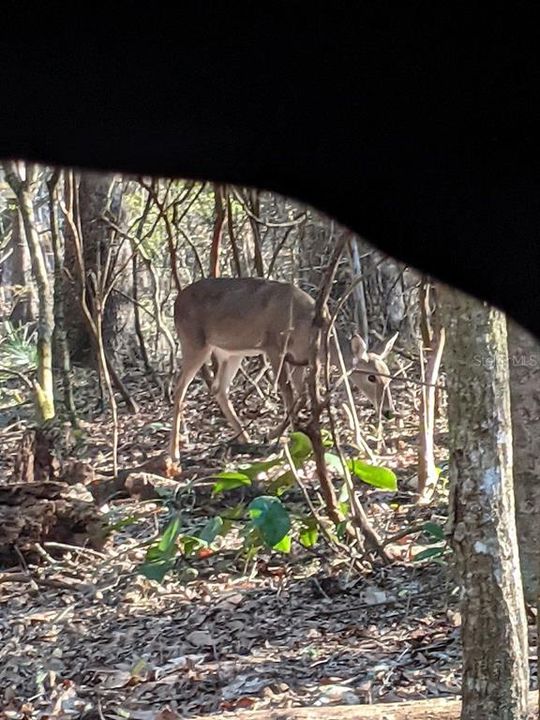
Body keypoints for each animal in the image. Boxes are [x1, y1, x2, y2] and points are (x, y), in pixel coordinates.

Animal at [168, 276, 396, 462]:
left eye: (389, 377)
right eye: (372, 377)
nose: (388, 411)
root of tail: (177, 301)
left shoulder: (300, 360)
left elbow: (302, 395)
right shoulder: (274, 346)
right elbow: (287, 391)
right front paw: (284, 436)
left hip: (231, 353)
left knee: (218, 388)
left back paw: (245, 438)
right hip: (194, 342)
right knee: (179, 389)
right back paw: (174, 453)